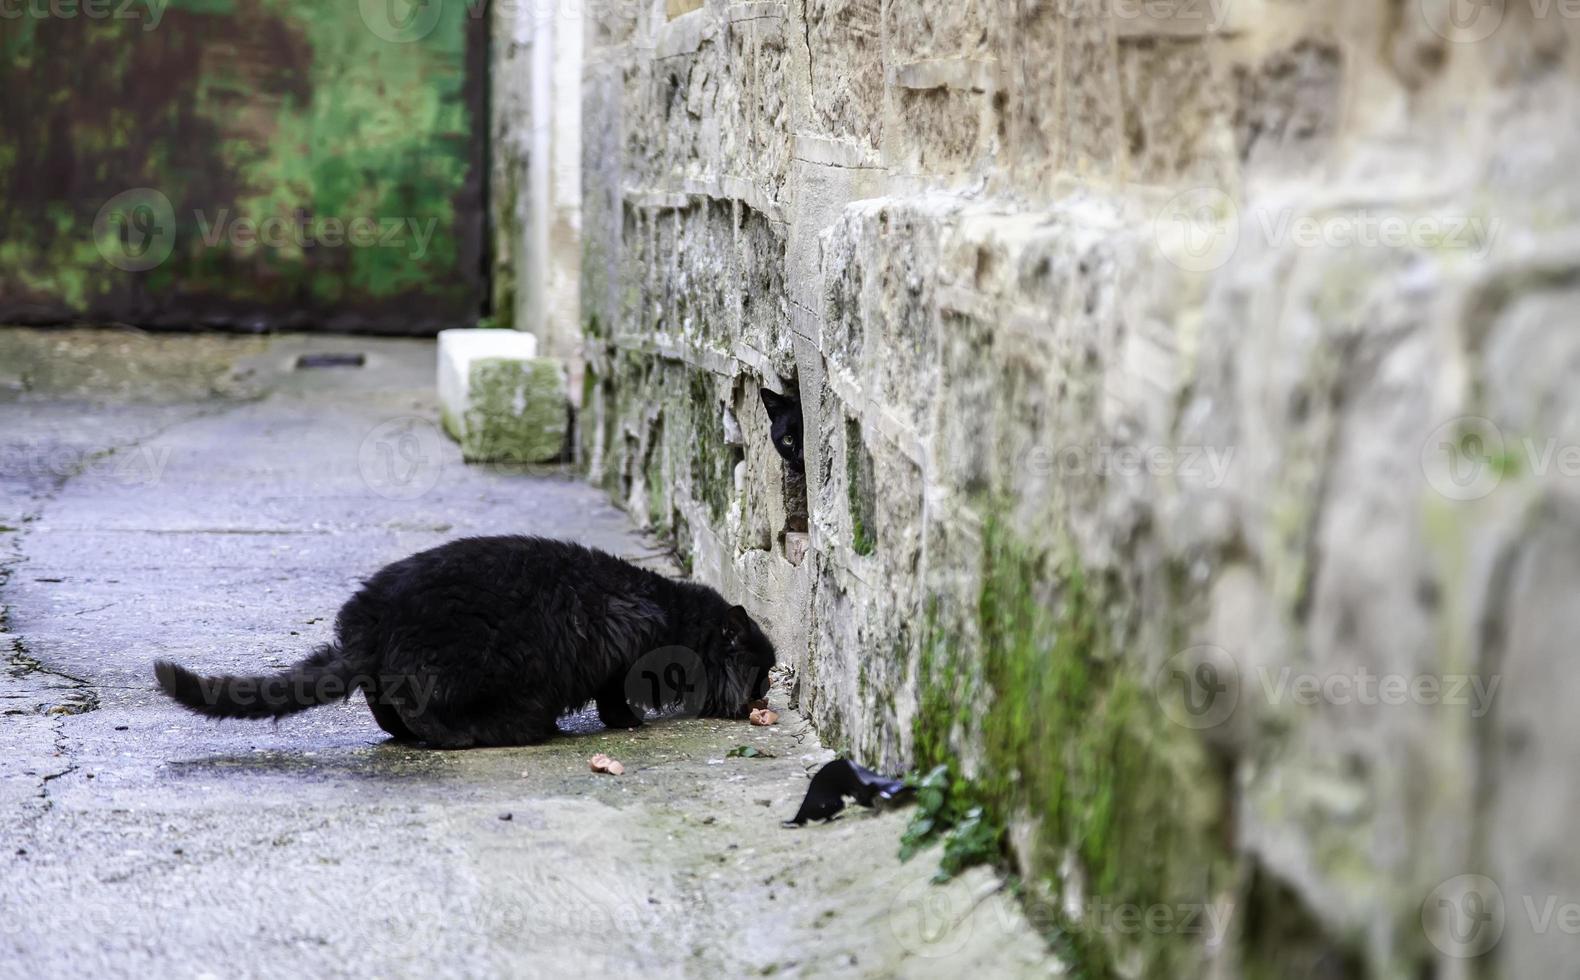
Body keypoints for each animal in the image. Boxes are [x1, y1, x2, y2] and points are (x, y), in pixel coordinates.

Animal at [155, 537, 777, 749]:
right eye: (761, 672)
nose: (767, 696)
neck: (674, 623)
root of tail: (372, 619)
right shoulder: (617, 660)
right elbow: (613, 698)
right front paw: (629, 723)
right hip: (476, 666)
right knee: (419, 708)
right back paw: (467, 736)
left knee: (386, 707)